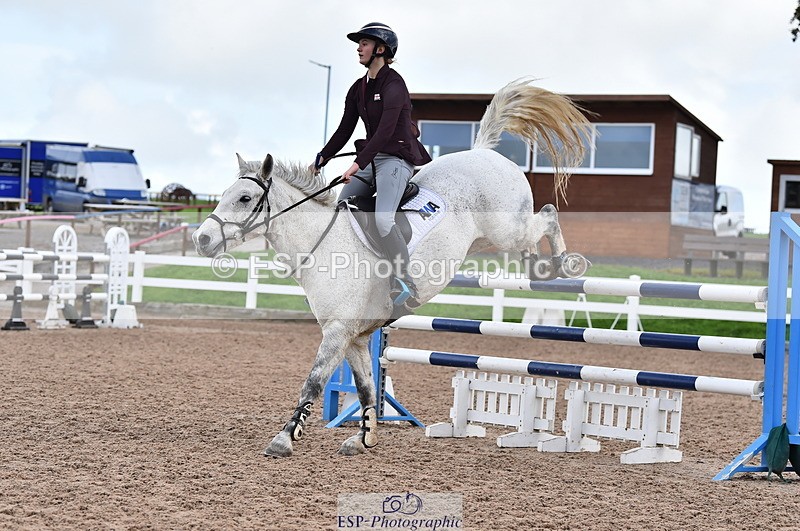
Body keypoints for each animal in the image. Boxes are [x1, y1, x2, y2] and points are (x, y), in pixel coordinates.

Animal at [192, 78, 591, 457]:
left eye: (245, 198)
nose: (202, 239)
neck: (323, 245)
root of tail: (482, 151)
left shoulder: (337, 331)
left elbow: (314, 382)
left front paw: (284, 439)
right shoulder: (355, 338)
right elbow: (367, 389)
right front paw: (364, 437)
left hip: (506, 228)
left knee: (547, 216)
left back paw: (567, 263)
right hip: (495, 238)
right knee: (530, 244)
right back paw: (543, 270)